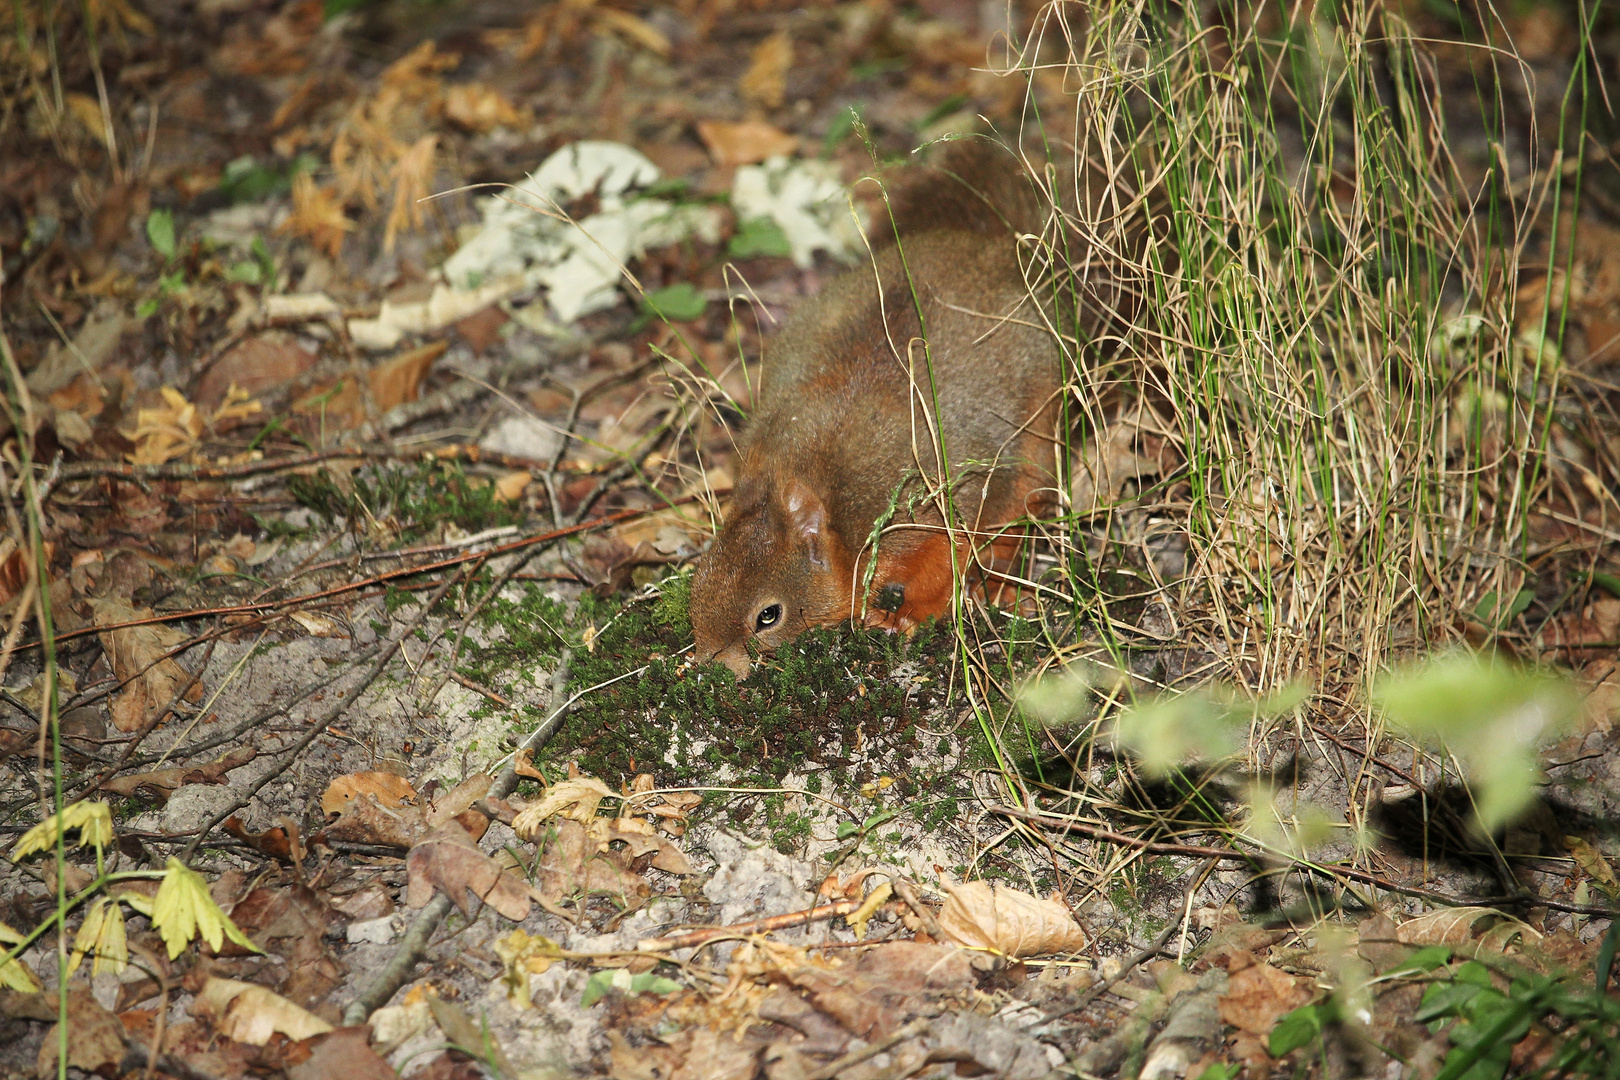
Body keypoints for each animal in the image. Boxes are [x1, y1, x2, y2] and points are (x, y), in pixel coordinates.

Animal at [686, 140, 1056, 680]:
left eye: (768, 616)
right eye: (698, 582)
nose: (713, 665)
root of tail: (988, 250)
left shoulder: (936, 500)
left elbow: (950, 557)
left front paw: (907, 616)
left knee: (1020, 508)